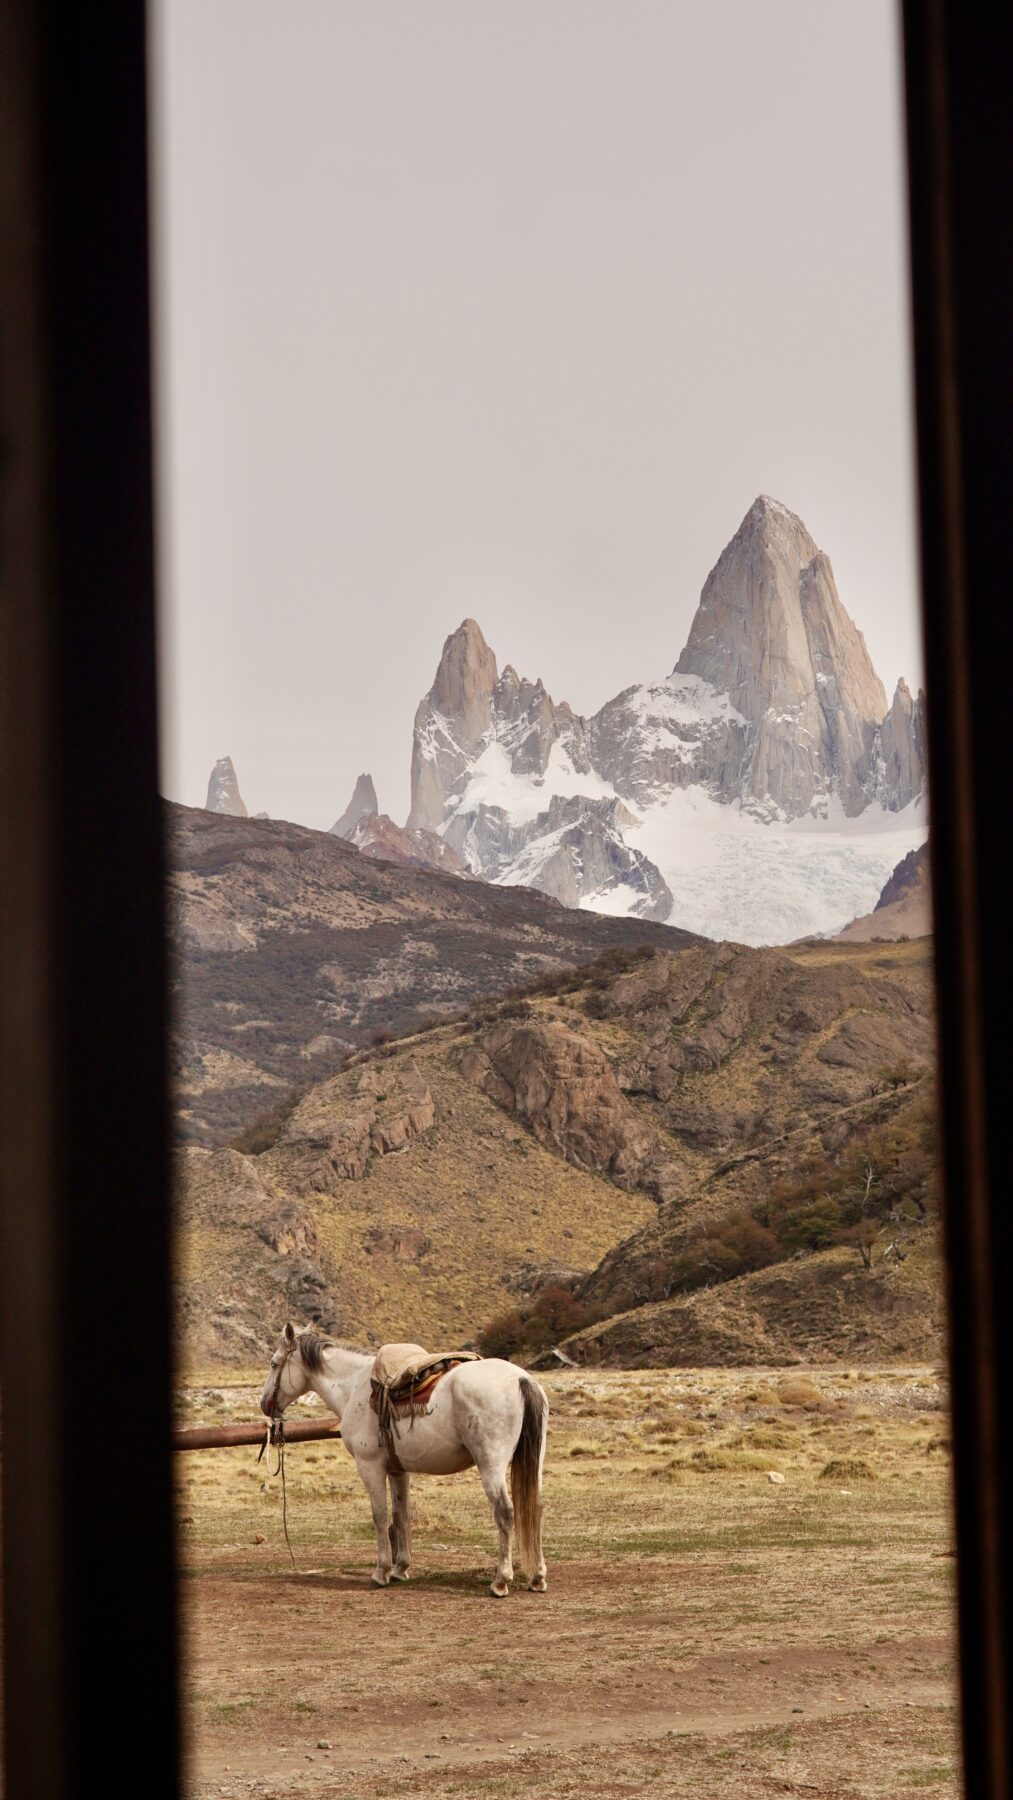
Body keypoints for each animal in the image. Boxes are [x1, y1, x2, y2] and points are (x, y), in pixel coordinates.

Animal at [257, 1317, 550, 1598]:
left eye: (273, 1364)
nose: (265, 1403)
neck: (354, 1386)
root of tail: (521, 1379)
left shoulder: (370, 1466)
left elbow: (380, 1515)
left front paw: (381, 1572)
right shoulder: (398, 1470)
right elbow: (401, 1516)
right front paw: (401, 1569)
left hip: (491, 1465)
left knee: (505, 1511)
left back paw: (501, 1581)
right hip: (533, 1462)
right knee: (534, 1507)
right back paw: (537, 1577)